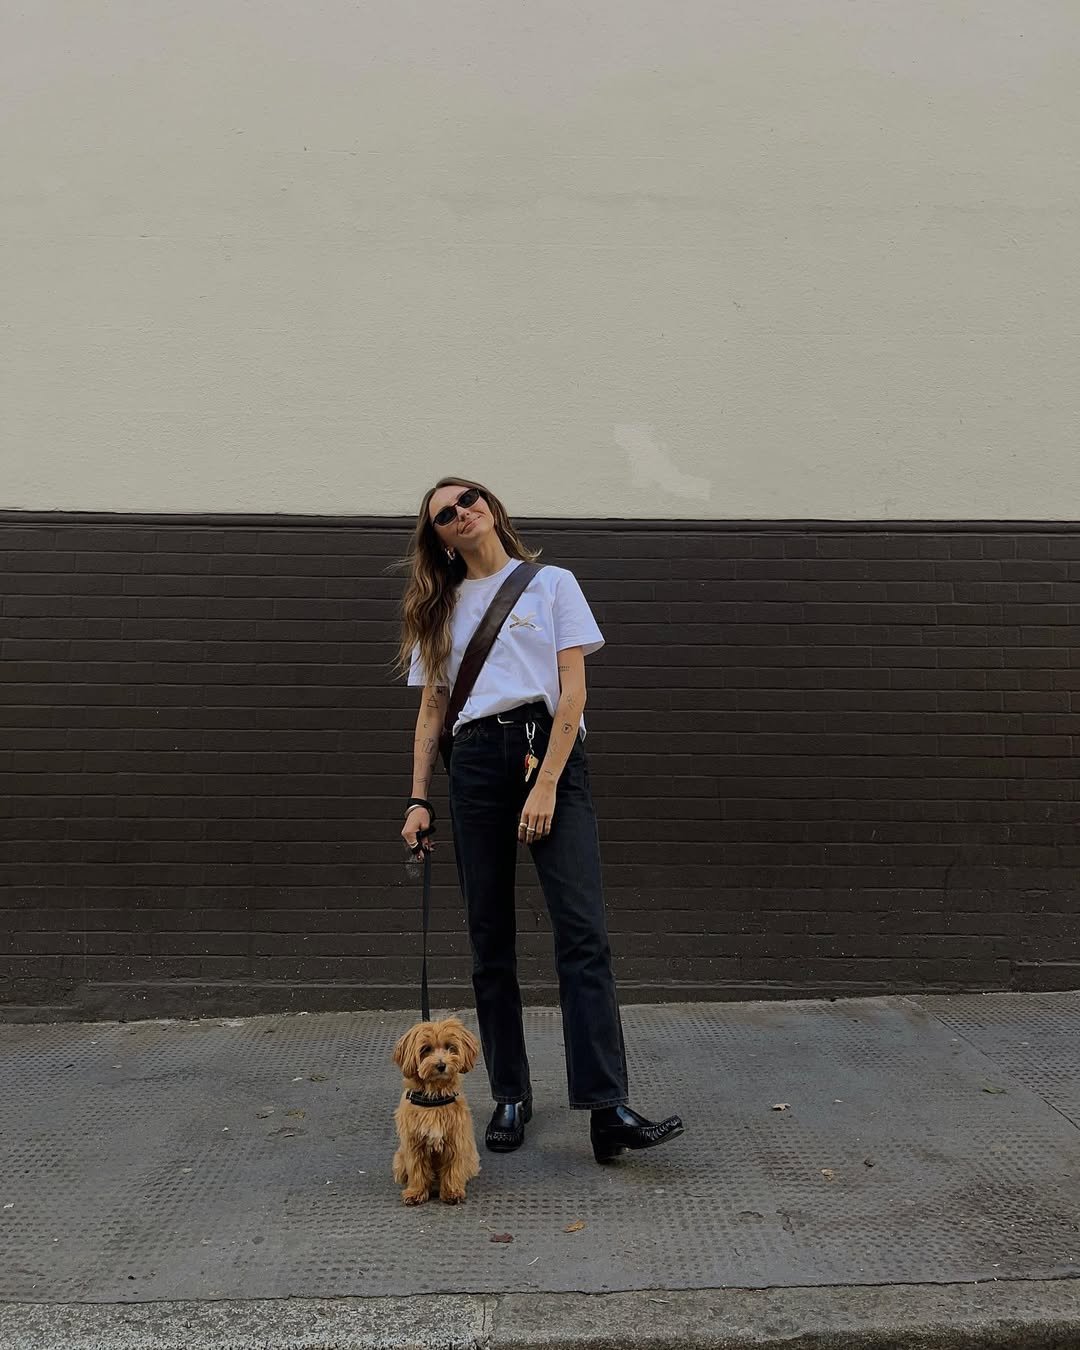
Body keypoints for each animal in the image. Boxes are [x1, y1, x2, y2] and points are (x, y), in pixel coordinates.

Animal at [391, 1015, 480, 1209]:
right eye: (426, 1049)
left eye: (450, 1047)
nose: (441, 1065)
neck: (434, 1097)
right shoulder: (414, 1144)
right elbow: (417, 1170)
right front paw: (416, 1193)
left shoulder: (456, 1140)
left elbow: (453, 1168)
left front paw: (452, 1192)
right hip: (400, 1159)